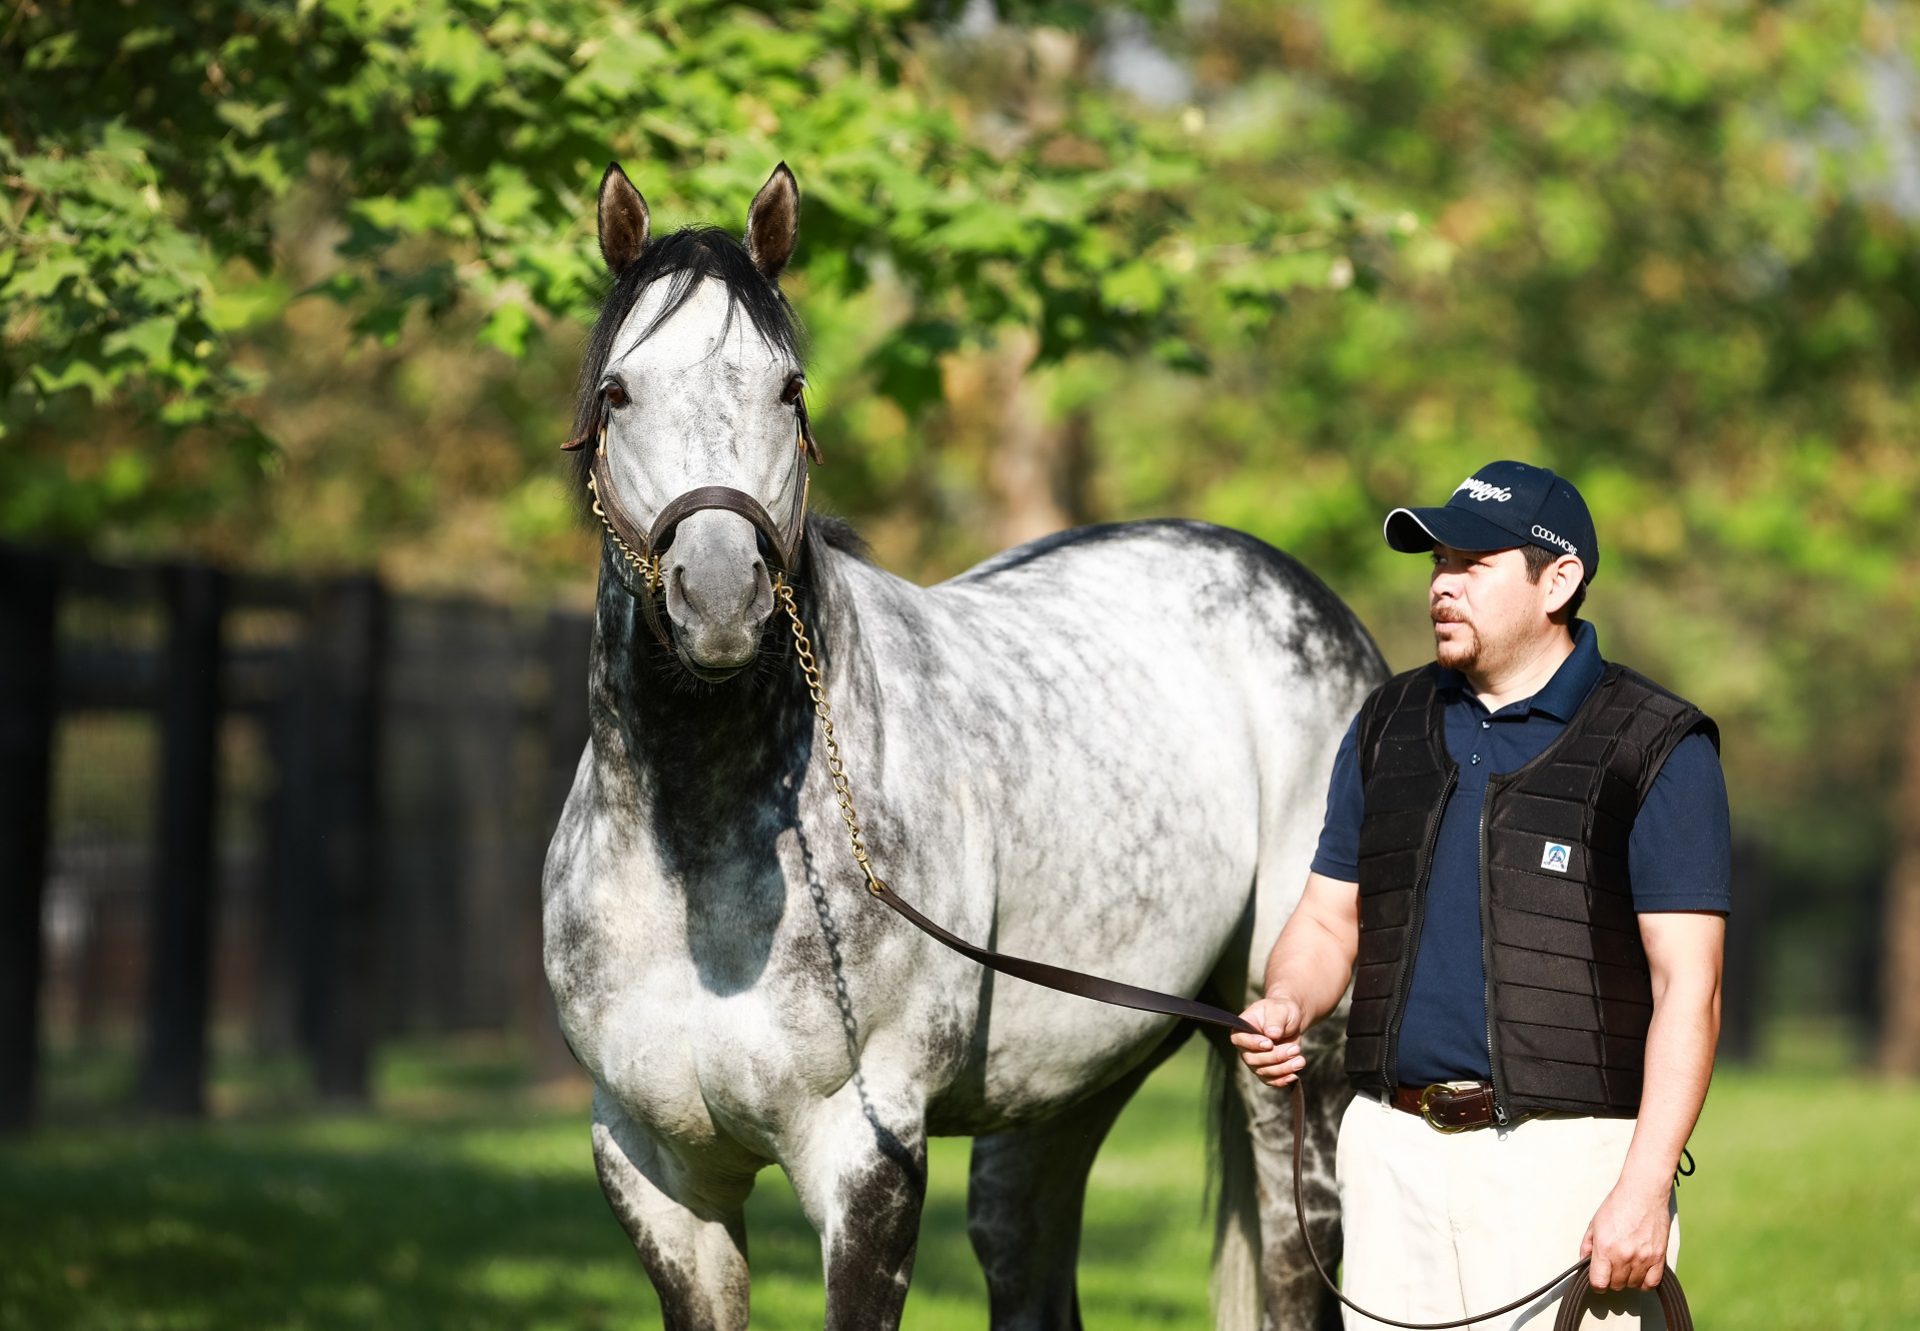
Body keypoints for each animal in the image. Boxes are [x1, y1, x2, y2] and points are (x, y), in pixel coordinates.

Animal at [541, 161, 1382, 1321]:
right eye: (618, 392)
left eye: (790, 390)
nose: (718, 598)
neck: (697, 863)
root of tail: (1308, 599)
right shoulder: (654, 1170)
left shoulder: (867, 1162)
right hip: (1066, 1082)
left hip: (1291, 1057)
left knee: (1300, 1266)